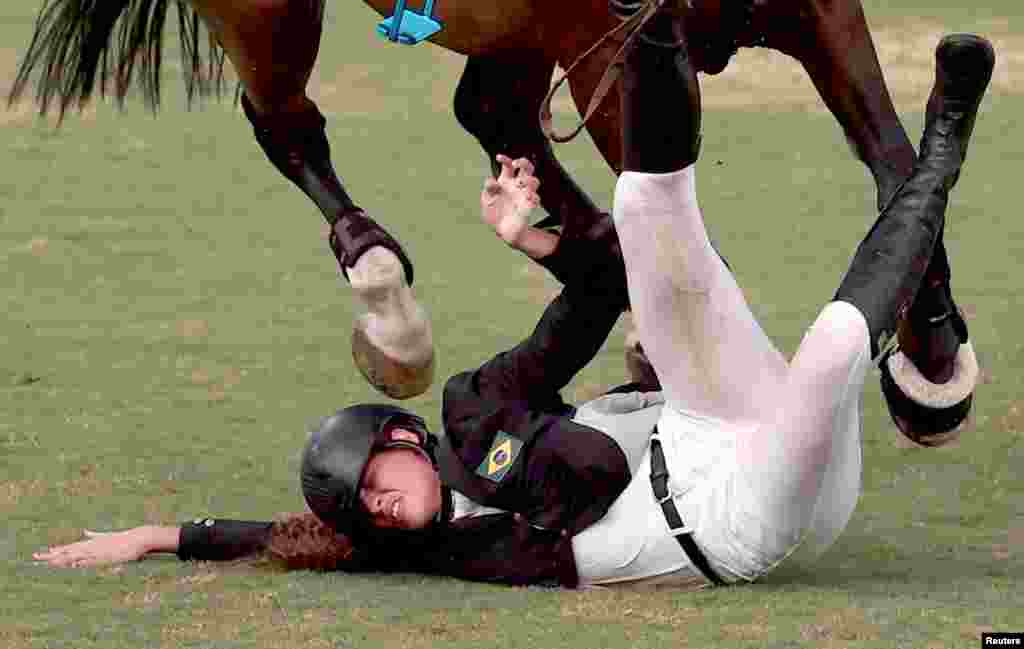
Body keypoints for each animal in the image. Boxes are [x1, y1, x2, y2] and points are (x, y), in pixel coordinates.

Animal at [8, 0, 918, 399]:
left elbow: (894, 157)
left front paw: (931, 367)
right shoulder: (610, 45)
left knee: (491, 113)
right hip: (269, 10)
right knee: (287, 124)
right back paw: (387, 299)